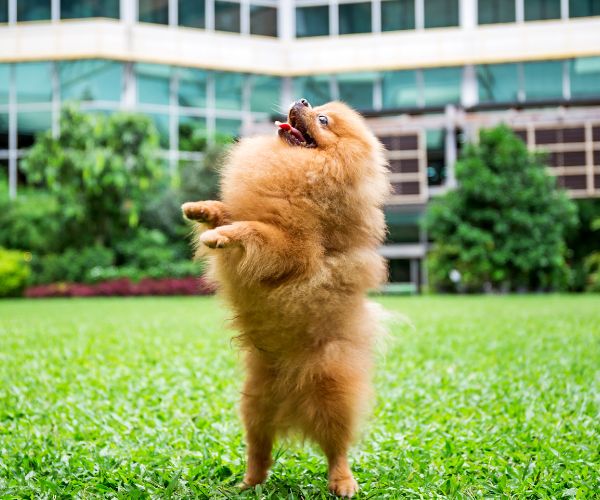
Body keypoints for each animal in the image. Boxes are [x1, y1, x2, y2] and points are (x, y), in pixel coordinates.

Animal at [182, 97, 390, 496]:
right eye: (317, 104)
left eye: (323, 119)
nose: (303, 101)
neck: (302, 168)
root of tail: (291, 399)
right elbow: (228, 212)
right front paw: (201, 210)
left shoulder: (294, 250)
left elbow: (253, 228)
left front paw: (221, 235)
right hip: (254, 406)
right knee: (259, 448)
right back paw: (248, 482)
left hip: (330, 396)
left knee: (337, 447)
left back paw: (342, 482)